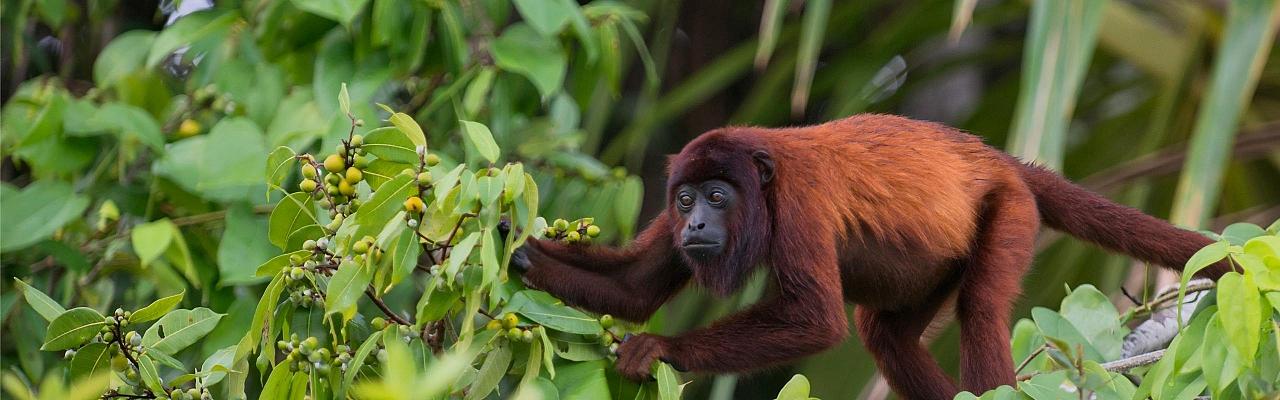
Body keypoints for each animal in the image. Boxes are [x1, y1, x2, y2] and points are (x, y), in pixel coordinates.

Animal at [504, 113, 1223, 400]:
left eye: (716, 195)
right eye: (683, 199)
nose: (698, 221)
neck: (761, 183)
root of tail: (998, 159)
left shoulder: (800, 202)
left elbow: (816, 320)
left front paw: (661, 349)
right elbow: (635, 288)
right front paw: (513, 249)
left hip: (1010, 210)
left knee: (980, 306)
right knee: (886, 334)